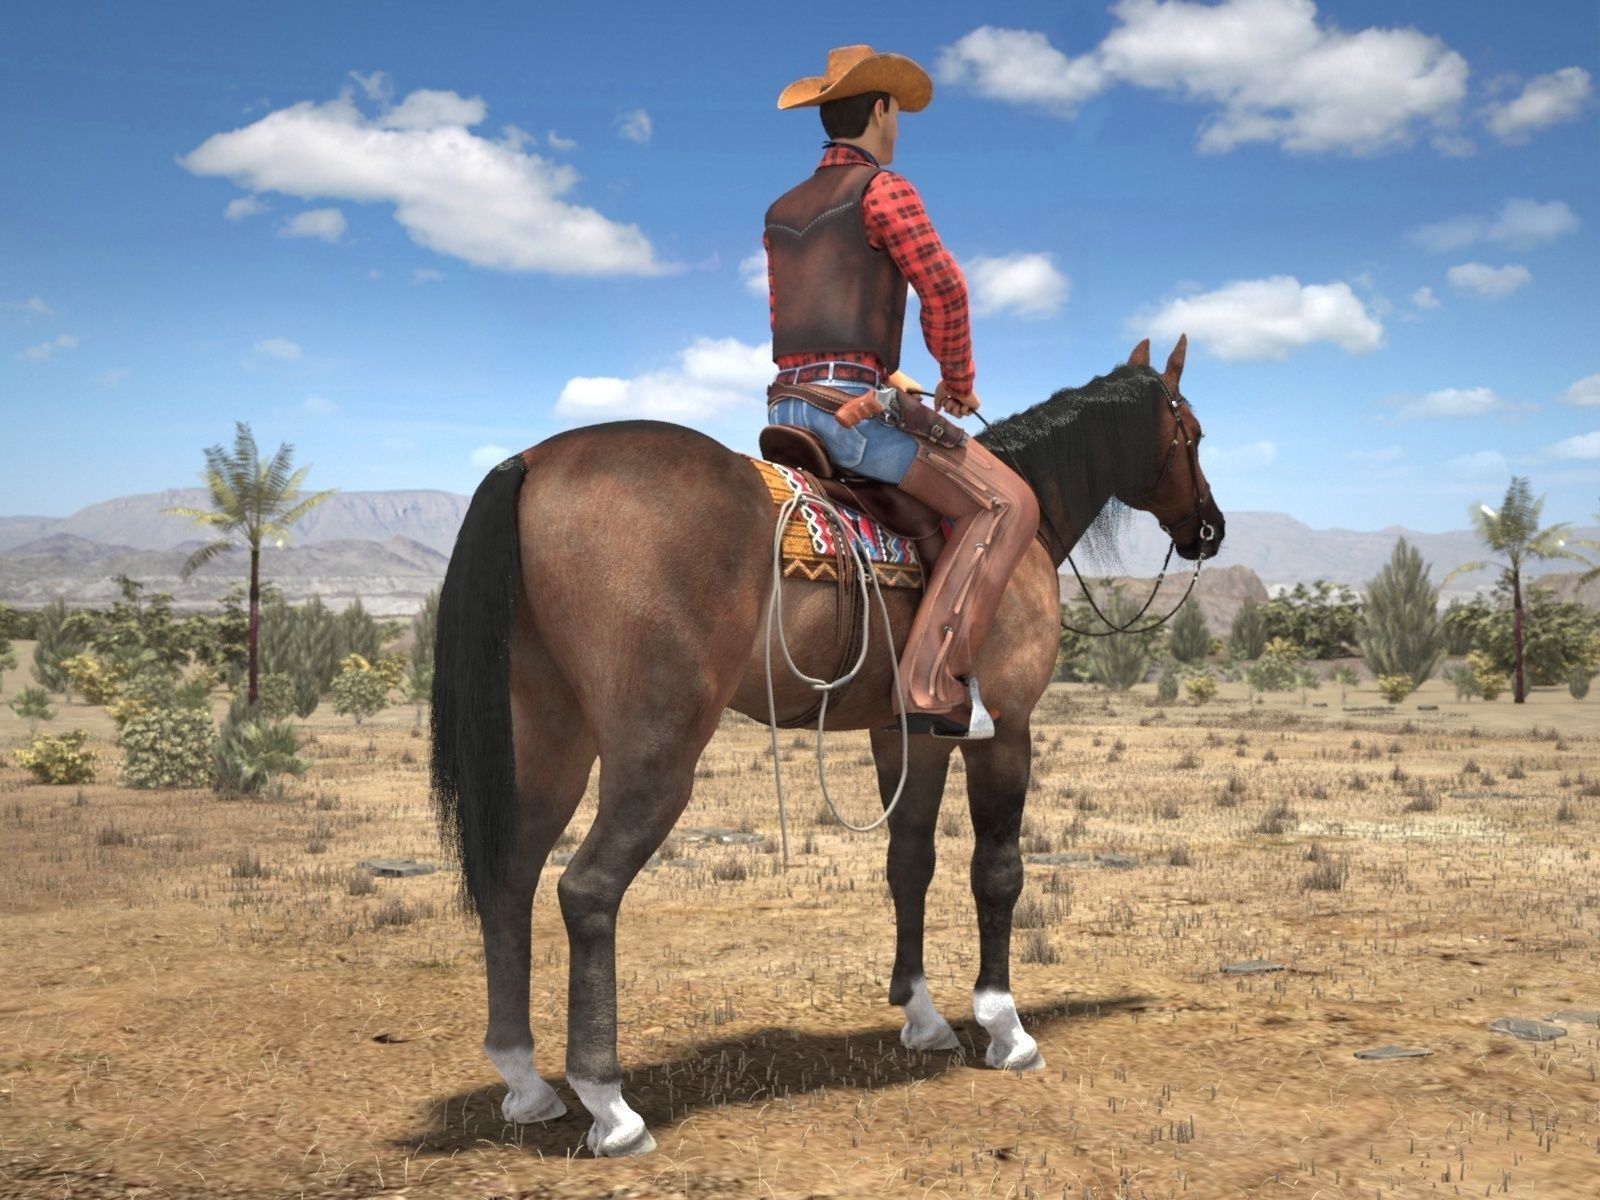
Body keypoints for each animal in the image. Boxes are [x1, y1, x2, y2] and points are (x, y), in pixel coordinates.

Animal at [430, 335, 1224, 1156]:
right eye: (1193, 434)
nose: (1209, 529)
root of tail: (530, 462)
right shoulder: (1005, 728)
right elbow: (998, 872)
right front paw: (1005, 1026)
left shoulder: (908, 736)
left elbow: (910, 864)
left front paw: (923, 1017)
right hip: (655, 753)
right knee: (586, 890)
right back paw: (610, 1106)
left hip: (548, 743)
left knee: (510, 877)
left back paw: (525, 1082)